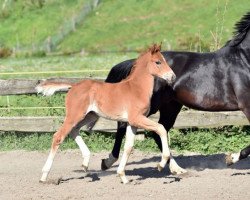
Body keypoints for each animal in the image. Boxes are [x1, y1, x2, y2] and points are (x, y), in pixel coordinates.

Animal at [37, 44, 186, 184]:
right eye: (158, 62)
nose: (172, 77)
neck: (136, 88)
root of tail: (73, 86)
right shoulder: (137, 118)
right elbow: (161, 129)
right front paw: (161, 164)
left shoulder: (132, 122)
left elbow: (128, 147)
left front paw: (123, 177)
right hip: (74, 115)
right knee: (58, 136)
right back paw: (44, 176)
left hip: (91, 115)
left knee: (74, 130)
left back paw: (85, 163)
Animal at [101, 11, 250, 170]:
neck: (243, 60)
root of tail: (136, 64)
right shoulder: (247, 105)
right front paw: (231, 158)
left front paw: (231, 158)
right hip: (151, 106)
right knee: (125, 124)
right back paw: (108, 161)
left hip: (171, 106)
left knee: (159, 131)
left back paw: (175, 168)